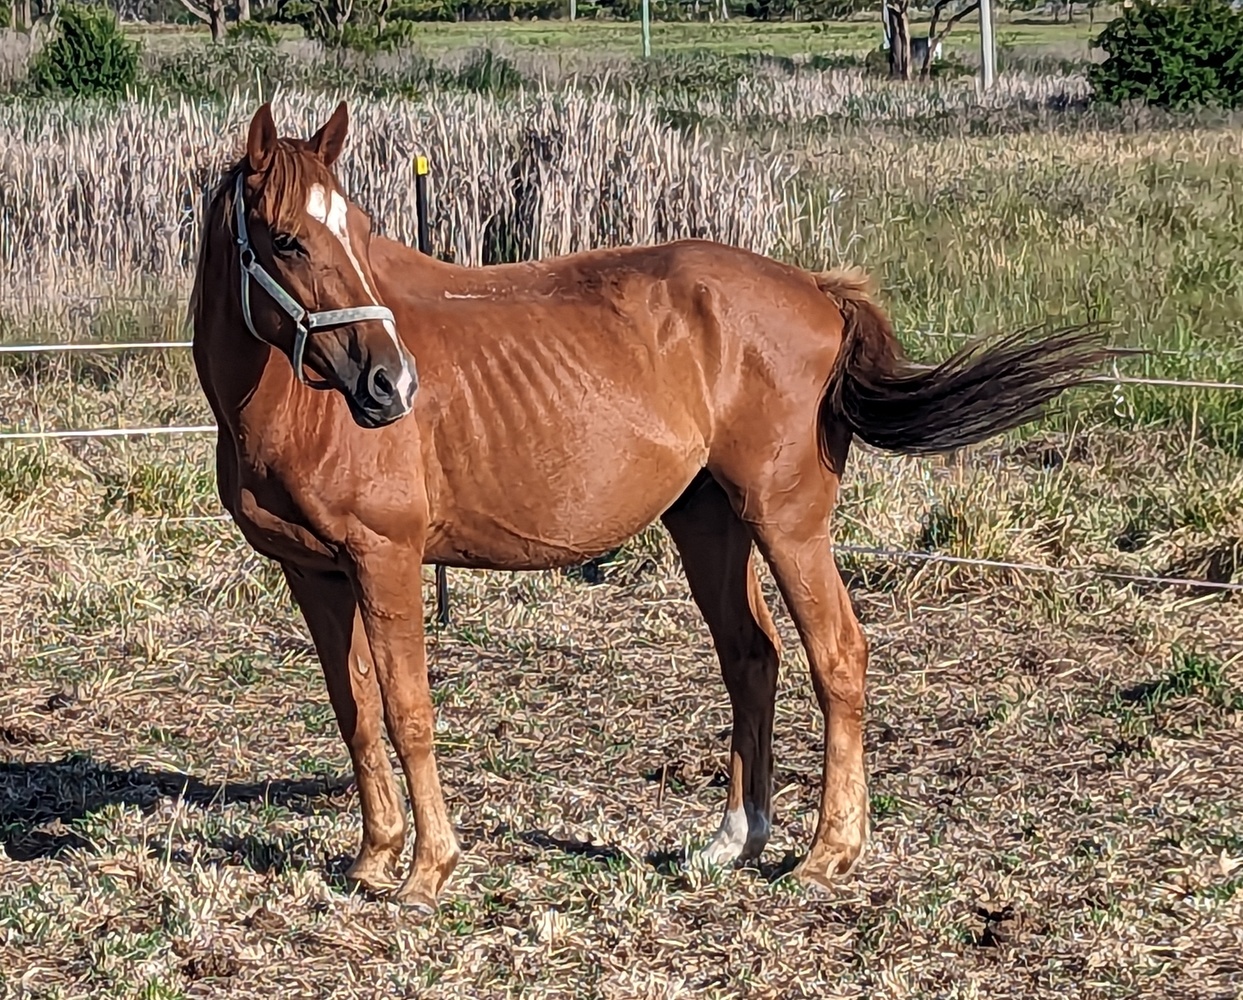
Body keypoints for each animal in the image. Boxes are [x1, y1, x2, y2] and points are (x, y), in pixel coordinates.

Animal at [190, 101, 1115, 913]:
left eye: (359, 230)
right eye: (288, 239)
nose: (391, 385)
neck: (291, 407)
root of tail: (817, 290)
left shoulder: (387, 560)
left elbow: (408, 711)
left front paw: (426, 871)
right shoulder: (312, 573)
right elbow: (353, 711)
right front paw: (374, 857)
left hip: (786, 523)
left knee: (836, 657)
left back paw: (828, 853)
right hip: (708, 522)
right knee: (751, 657)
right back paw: (733, 839)